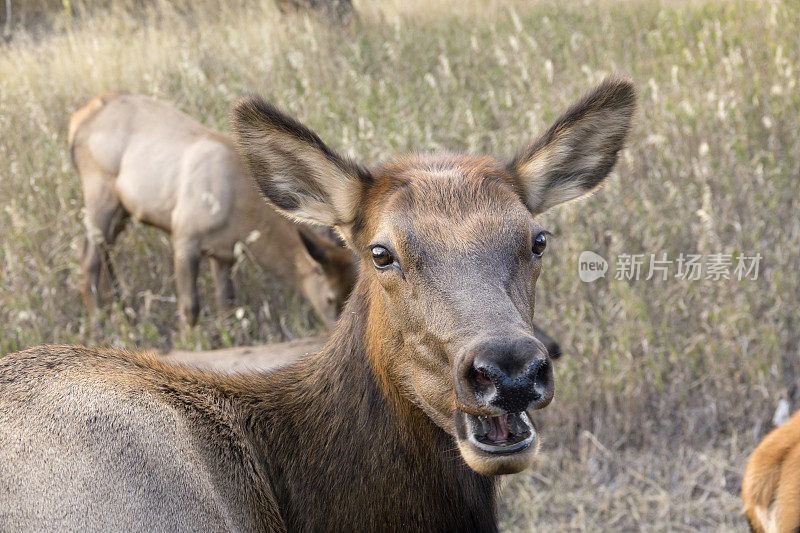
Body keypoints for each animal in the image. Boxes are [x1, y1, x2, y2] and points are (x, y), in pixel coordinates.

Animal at [69, 92, 356, 326]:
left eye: (351, 289)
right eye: (330, 299)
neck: (241, 216)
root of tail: (76, 121)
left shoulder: (224, 254)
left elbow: (227, 307)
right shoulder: (184, 236)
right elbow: (190, 308)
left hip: (122, 211)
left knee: (105, 251)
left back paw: (123, 311)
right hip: (99, 193)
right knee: (89, 257)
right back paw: (98, 325)